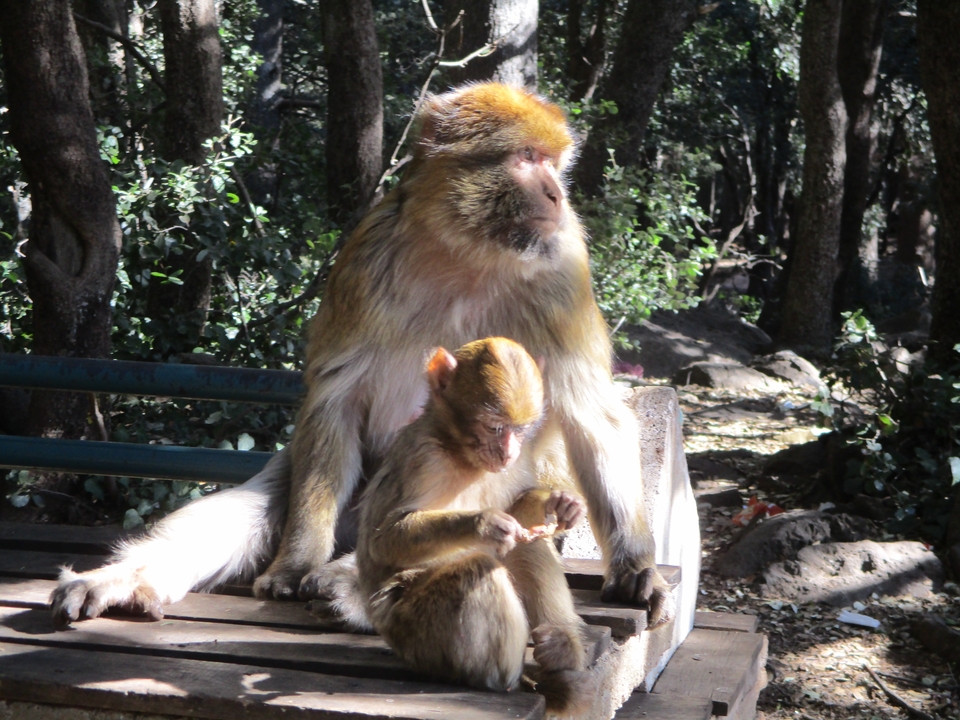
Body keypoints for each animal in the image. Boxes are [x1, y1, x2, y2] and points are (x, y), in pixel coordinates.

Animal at [50, 82, 676, 630]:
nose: (557, 195)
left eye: (553, 161)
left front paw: (637, 568)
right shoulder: (366, 253)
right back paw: (126, 580)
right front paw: (295, 564)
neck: (465, 254)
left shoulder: (562, 271)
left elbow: (591, 412)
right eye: (527, 158)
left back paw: (345, 588)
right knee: (265, 500)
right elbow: (338, 396)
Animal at [355, 337, 592, 713]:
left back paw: (560, 647)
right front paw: (485, 524)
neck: (460, 453)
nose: (507, 452)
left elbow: (521, 507)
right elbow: (385, 539)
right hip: (413, 631)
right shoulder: (424, 457)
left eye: (519, 430)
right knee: (477, 568)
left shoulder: (521, 457)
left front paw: (562, 503)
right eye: (494, 427)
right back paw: (502, 680)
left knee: (526, 547)